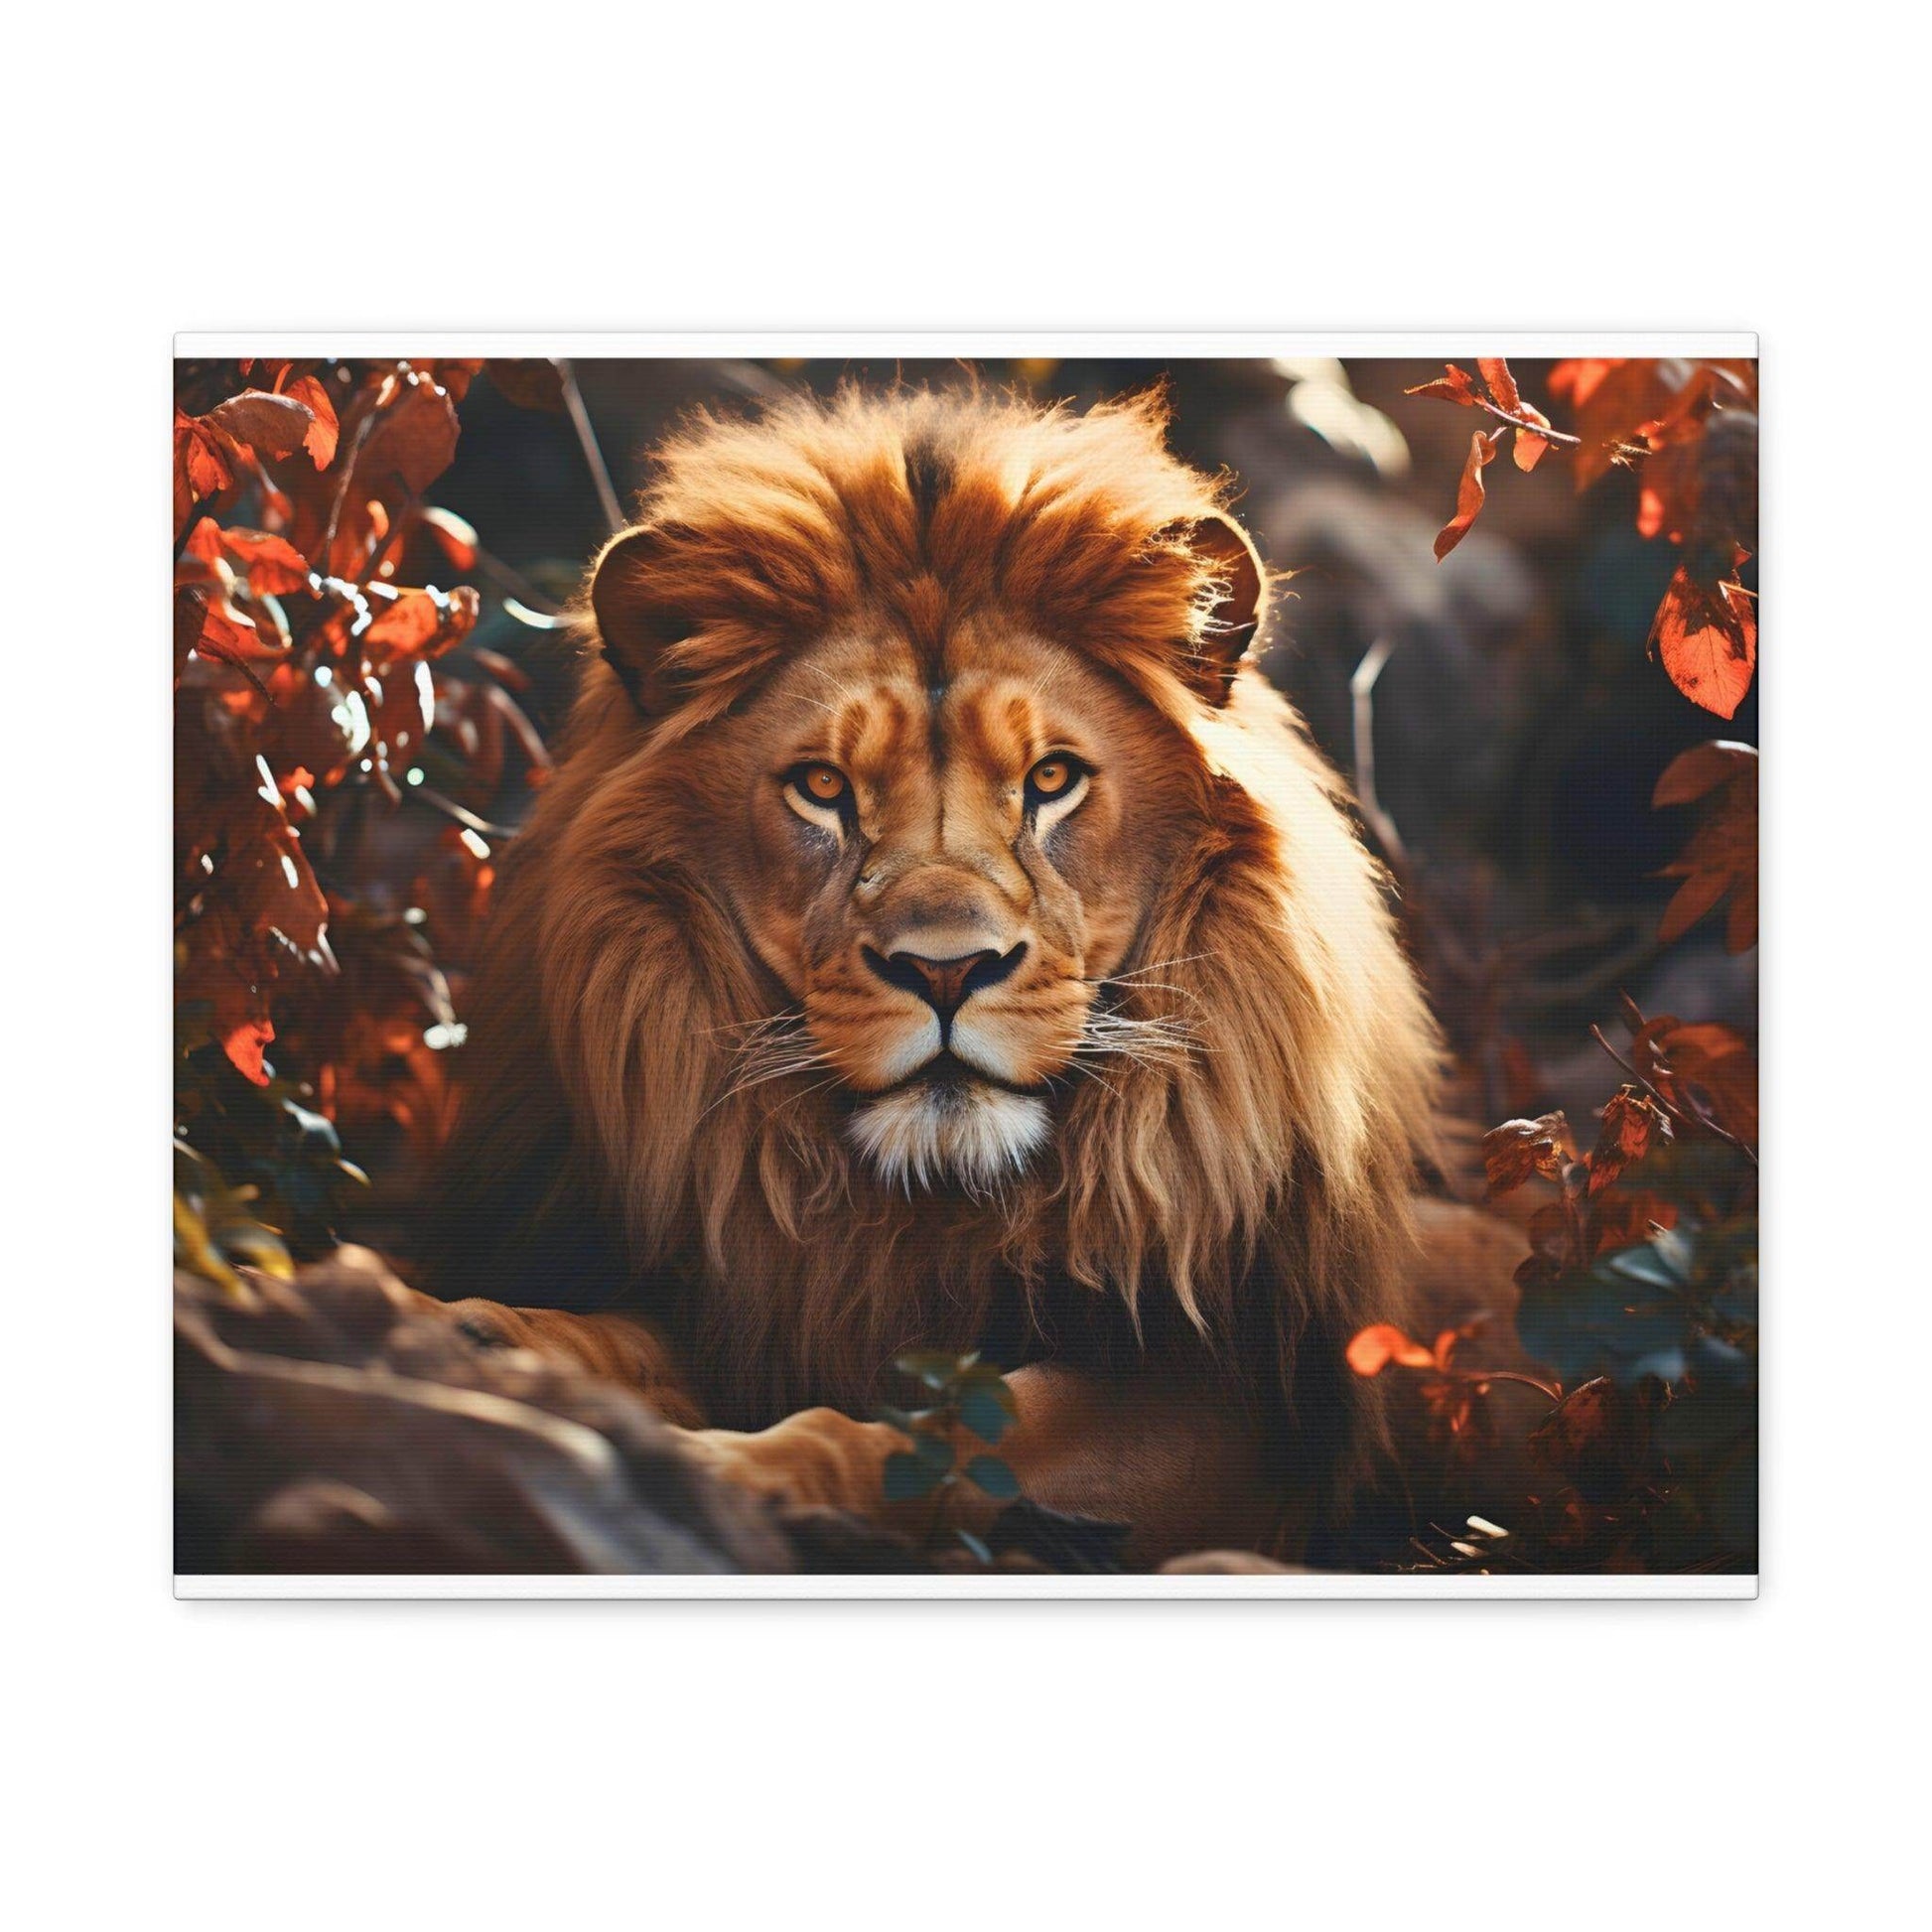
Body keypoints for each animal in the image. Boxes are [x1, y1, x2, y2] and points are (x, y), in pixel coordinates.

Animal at [427, 382, 1447, 1566]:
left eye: (1051, 779)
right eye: (823, 787)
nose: (946, 971)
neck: (927, 1208)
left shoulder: (1240, 1407)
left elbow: (954, 1430)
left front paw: (739, 1473)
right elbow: (622, 1339)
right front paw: (475, 1336)